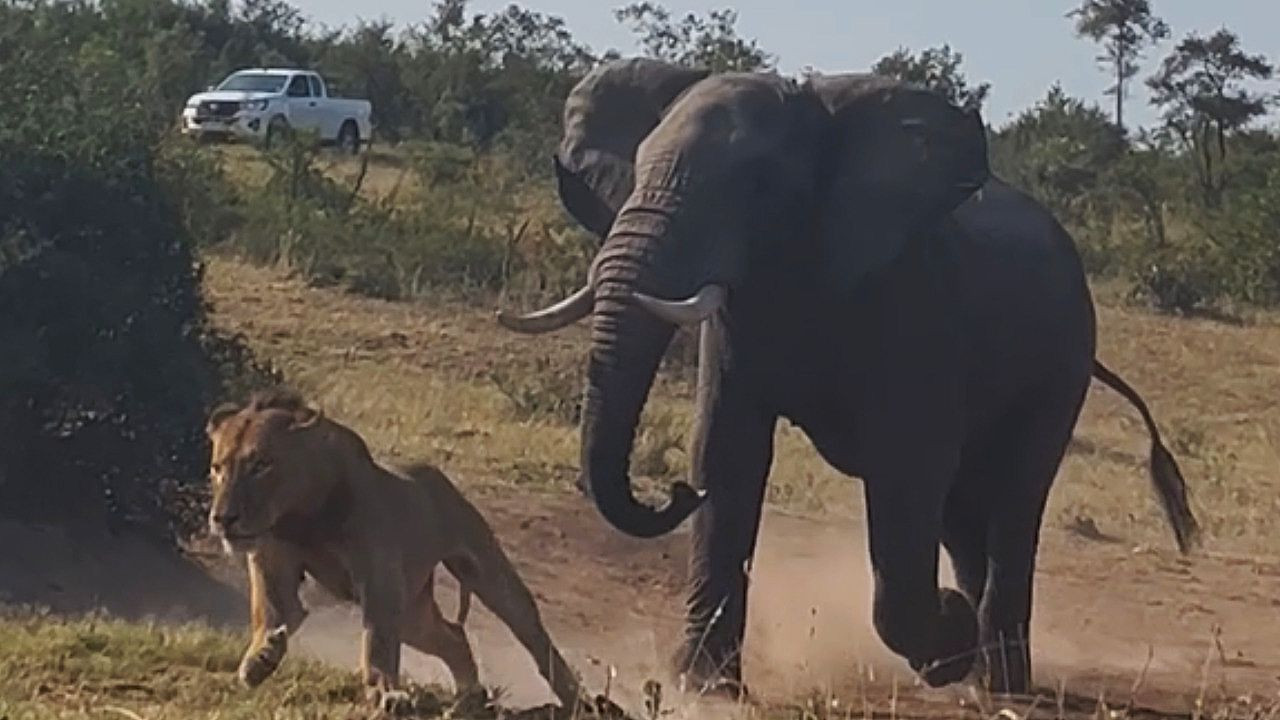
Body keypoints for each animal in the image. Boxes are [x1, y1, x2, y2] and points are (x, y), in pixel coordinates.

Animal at [204, 389, 587, 713]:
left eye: (261, 465)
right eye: (218, 468)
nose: (223, 518)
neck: (302, 515)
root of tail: (437, 476)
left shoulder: (379, 578)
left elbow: (378, 641)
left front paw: (385, 692)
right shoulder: (272, 561)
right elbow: (269, 613)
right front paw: (260, 660)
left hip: (485, 572)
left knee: (532, 633)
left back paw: (576, 699)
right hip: (415, 614)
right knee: (453, 636)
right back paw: (469, 697)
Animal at [495, 58, 1201, 697]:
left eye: (758, 186)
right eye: (636, 171)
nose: (671, 492)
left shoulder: (915, 301)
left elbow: (906, 472)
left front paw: (945, 634)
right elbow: (728, 453)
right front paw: (704, 687)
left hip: (1061, 365)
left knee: (1012, 501)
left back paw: (999, 681)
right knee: (963, 508)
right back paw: (977, 668)